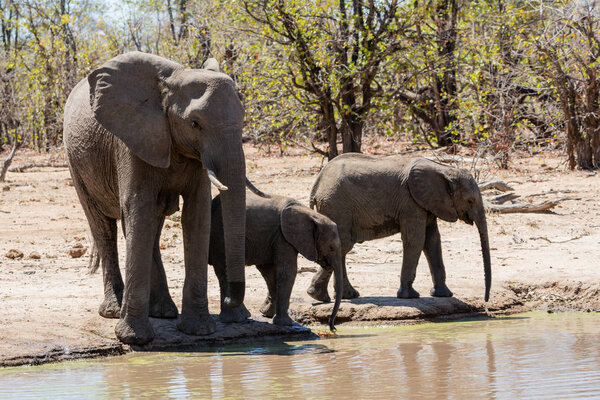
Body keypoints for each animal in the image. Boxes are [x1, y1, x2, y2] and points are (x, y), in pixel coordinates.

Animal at [63, 50, 262, 344]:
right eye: (195, 123)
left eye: (243, 118)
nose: (228, 300)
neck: (171, 83)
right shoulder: (132, 141)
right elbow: (139, 209)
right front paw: (135, 339)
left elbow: (197, 215)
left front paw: (199, 330)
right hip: (76, 161)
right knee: (103, 226)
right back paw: (114, 311)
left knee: (149, 225)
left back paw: (162, 311)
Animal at [210, 194, 342, 332]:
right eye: (331, 248)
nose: (333, 328)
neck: (311, 214)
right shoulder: (283, 236)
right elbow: (287, 271)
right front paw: (286, 323)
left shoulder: (272, 238)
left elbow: (269, 271)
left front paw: (266, 313)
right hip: (220, 235)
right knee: (223, 269)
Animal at [310, 153, 492, 304]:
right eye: (470, 200)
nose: (486, 300)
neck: (445, 170)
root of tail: (317, 184)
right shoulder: (410, 202)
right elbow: (416, 240)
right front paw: (410, 296)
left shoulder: (426, 203)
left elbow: (432, 240)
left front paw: (444, 295)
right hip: (337, 206)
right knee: (343, 245)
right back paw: (318, 295)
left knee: (341, 247)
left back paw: (339, 296)